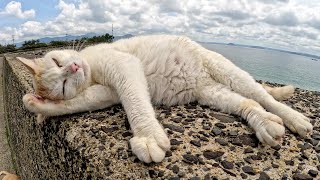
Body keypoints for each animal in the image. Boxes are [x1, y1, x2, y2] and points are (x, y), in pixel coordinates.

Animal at [18, 34, 312, 163]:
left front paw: (147, 137)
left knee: (262, 96)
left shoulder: (123, 66)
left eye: (57, 62)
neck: (91, 74)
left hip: (226, 71)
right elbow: (80, 101)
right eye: (63, 85)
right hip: (212, 93)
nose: (74, 67)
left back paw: (295, 119)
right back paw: (265, 124)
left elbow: (135, 102)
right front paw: (40, 105)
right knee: (248, 103)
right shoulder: (105, 92)